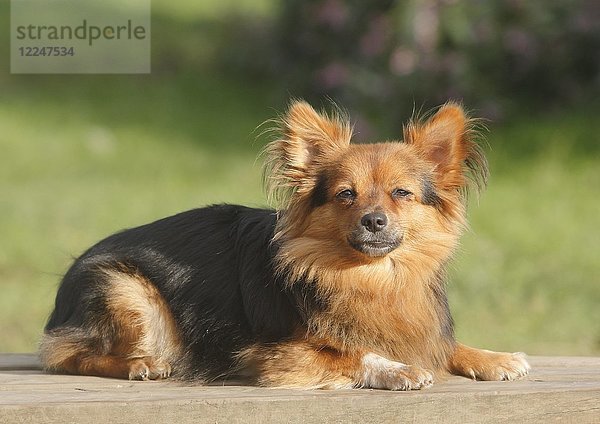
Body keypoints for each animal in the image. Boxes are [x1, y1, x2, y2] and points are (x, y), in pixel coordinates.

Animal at [41, 101, 528, 390]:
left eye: (401, 194)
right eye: (346, 195)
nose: (374, 220)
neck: (371, 277)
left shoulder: (423, 329)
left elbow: (445, 346)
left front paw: (494, 357)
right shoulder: (276, 356)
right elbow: (352, 354)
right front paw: (397, 368)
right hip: (127, 291)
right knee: (65, 355)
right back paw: (138, 364)